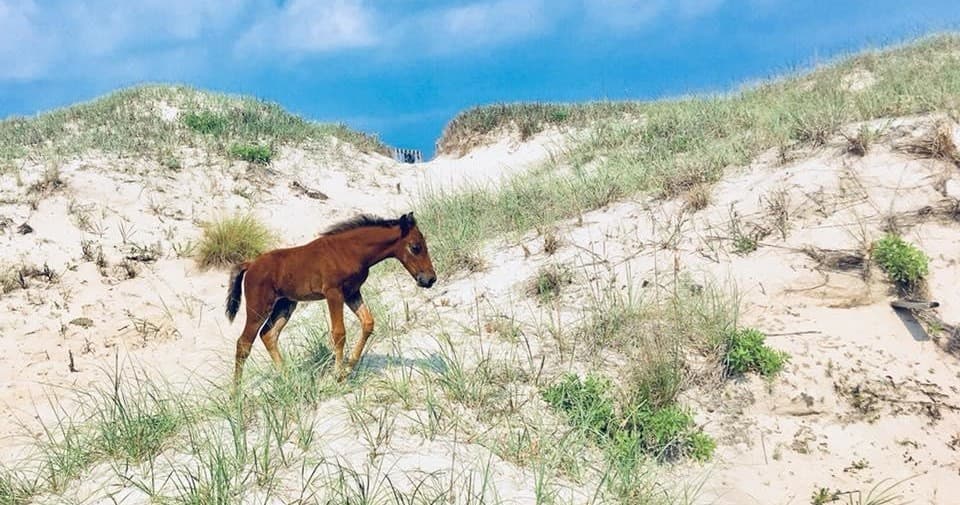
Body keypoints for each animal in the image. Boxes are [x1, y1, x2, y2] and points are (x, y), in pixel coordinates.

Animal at [225, 212, 436, 388]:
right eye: (415, 247)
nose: (430, 279)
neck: (350, 250)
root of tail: (250, 264)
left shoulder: (352, 293)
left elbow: (368, 323)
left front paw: (349, 367)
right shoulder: (334, 293)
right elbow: (339, 333)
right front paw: (338, 374)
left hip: (285, 305)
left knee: (268, 335)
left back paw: (289, 378)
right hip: (258, 308)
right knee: (244, 343)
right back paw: (236, 394)